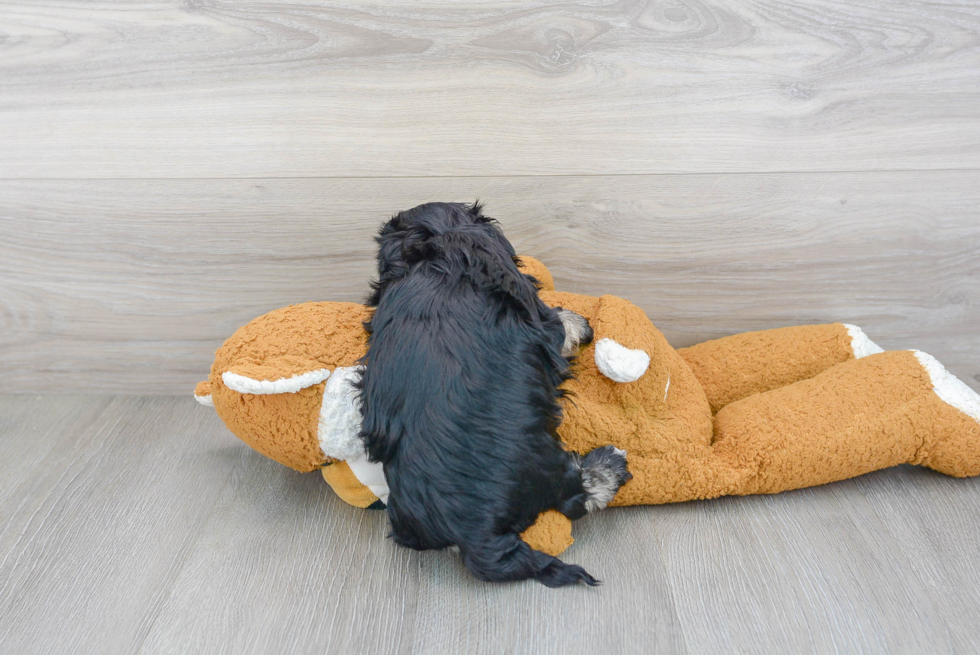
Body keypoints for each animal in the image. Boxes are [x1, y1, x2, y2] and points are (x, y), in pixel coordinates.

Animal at [358, 202, 628, 588]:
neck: (433, 253)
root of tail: (475, 536)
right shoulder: (537, 314)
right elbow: (558, 323)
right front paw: (578, 323)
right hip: (549, 465)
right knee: (577, 496)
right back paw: (609, 465)